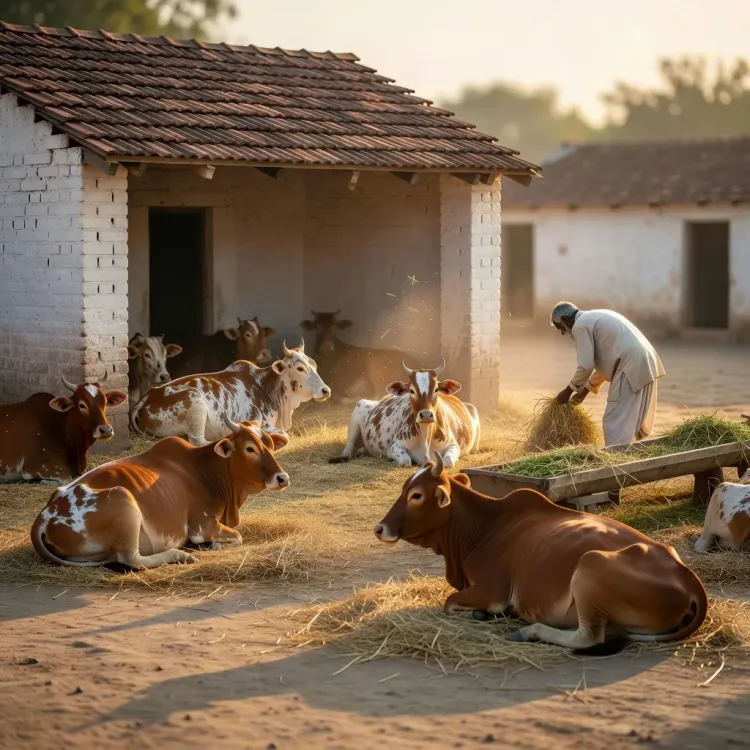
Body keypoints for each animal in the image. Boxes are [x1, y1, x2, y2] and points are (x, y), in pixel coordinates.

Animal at [31, 415, 290, 570]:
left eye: (270, 445)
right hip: (123, 499)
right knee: (132, 559)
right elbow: (236, 537)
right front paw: (214, 546)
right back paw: (180, 555)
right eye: (250, 448)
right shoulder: (201, 526)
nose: (282, 478)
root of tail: (44, 517)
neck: (205, 470)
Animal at [130, 340, 330, 446]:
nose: (325, 390)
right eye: (300, 368)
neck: (265, 385)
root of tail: (147, 397)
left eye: (314, 364)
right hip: (195, 401)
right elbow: (284, 436)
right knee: (199, 442)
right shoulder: (262, 422)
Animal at [330, 361, 480, 468]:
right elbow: (405, 461)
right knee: (349, 446)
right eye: (411, 391)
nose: (426, 415)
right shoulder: (394, 446)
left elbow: (448, 461)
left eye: (436, 389)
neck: (425, 436)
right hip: (359, 408)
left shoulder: (453, 445)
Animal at [374, 454, 708, 654]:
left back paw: (528, 632)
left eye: (416, 495)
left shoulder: (492, 591)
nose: (380, 528)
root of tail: (690, 580)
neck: (485, 525)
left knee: (588, 637)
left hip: (590, 566)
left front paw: (483, 614)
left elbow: (449, 603)